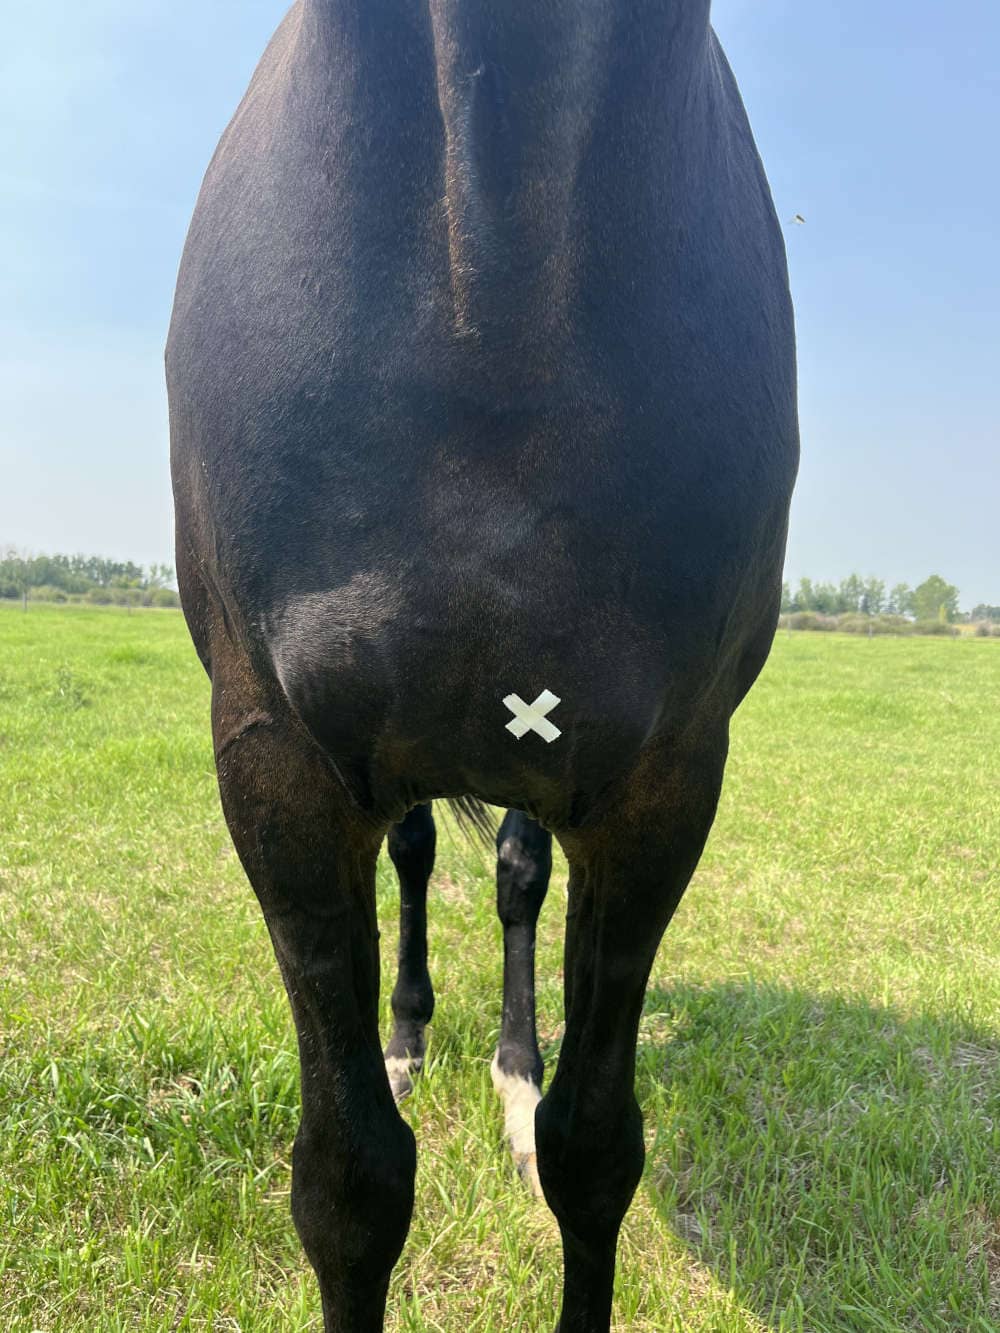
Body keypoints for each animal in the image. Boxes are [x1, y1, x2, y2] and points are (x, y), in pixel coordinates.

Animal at [166, 1, 799, 1328]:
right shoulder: (276, 761)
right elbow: (348, 1184)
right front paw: (393, 1059)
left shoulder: (662, 782)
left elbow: (594, 1146)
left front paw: (534, 1094)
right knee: (412, 857)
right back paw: (409, 1039)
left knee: (514, 882)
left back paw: (510, 1071)